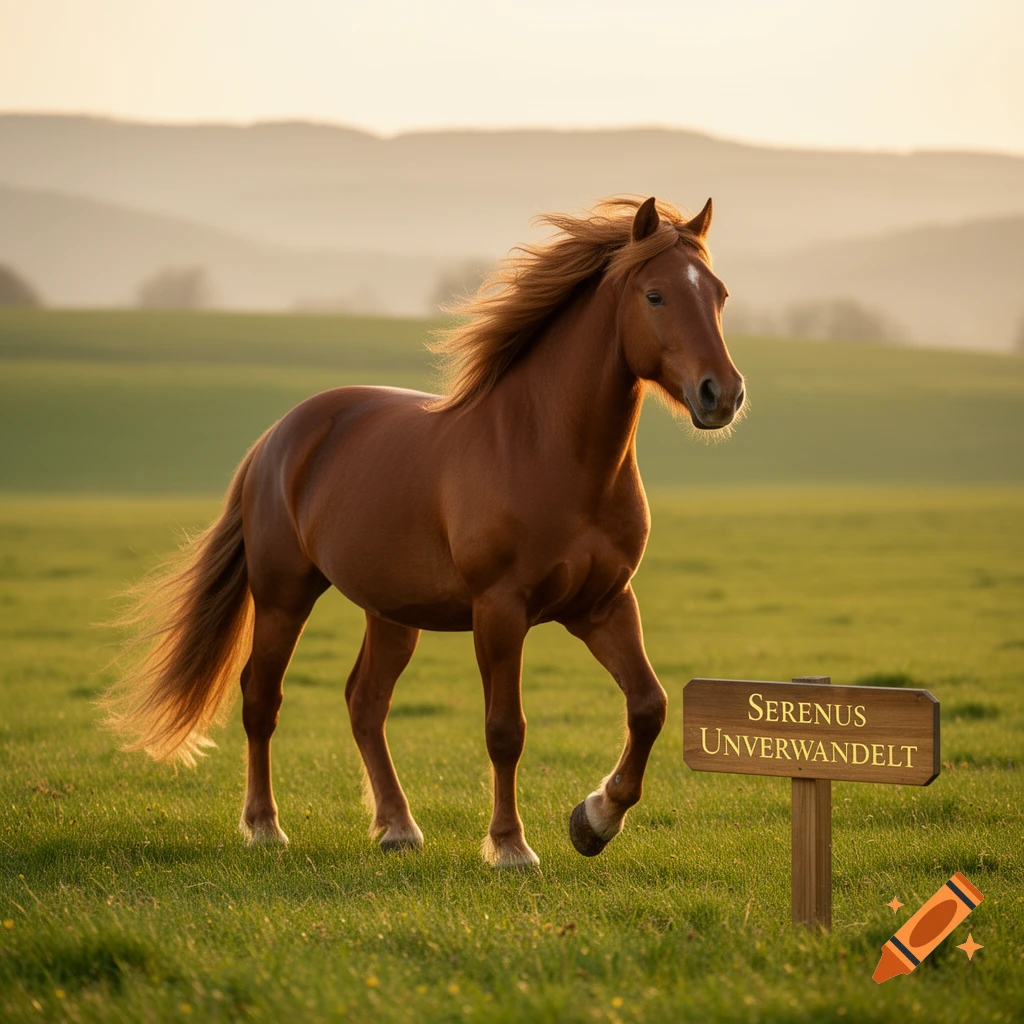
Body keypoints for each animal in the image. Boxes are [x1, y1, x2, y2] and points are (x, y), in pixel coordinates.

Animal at [105, 195, 745, 868]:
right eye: (655, 295)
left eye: (719, 294)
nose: (721, 394)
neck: (551, 454)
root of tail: (279, 437)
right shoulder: (500, 610)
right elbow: (505, 730)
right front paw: (511, 846)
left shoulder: (604, 604)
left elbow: (649, 706)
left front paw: (594, 820)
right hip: (283, 597)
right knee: (261, 698)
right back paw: (265, 827)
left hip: (391, 613)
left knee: (365, 703)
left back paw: (397, 827)